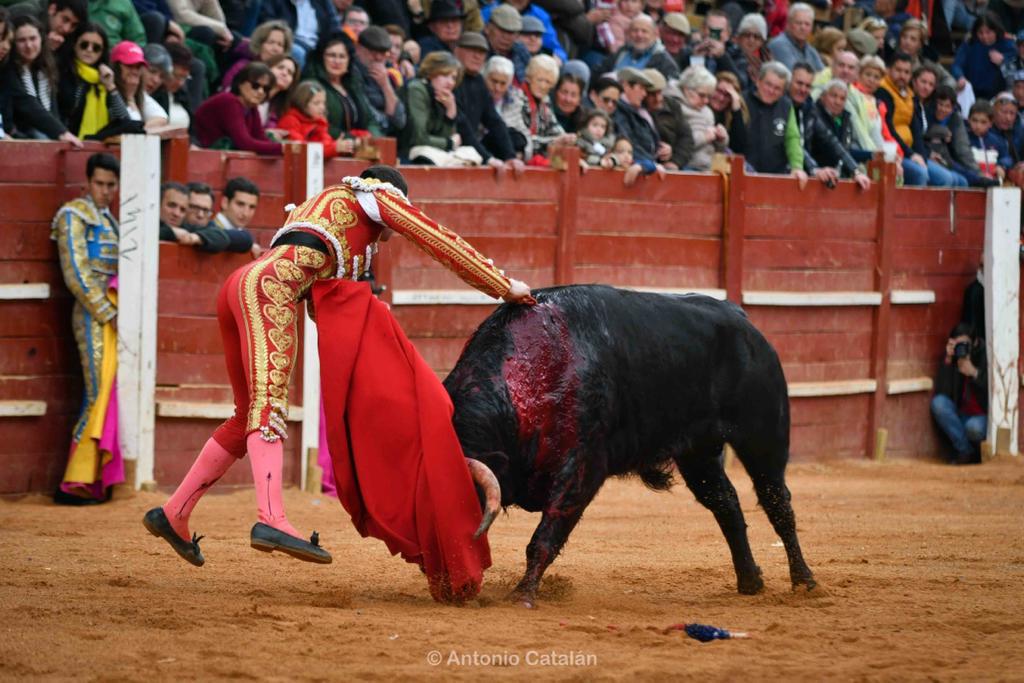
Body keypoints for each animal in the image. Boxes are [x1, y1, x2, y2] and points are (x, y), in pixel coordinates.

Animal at [446, 286, 815, 606]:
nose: (449, 586)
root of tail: (739, 317)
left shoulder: (582, 470)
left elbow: (544, 538)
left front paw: (522, 595)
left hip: (762, 438)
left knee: (777, 502)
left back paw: (804, 581)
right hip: (698, 453)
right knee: (726, 503)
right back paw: (749, 580)